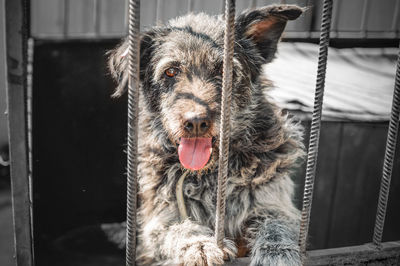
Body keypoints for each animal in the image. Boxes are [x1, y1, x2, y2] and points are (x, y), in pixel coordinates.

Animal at [104, 4, 304, 266]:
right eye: (171, 72)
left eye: (225, 70)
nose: (196, 122)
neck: (205, 175)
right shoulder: (157, 221)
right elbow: (178, 228)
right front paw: (200, 244)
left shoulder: (272, 200)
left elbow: (276, 225)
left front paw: (278, 254)